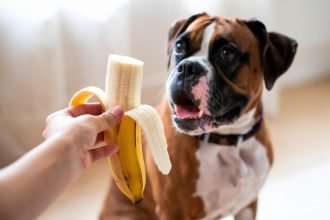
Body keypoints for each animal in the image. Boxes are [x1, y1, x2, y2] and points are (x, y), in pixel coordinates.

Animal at [100, 13, 296, 220]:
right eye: (179, 46)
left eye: (227, 53)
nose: (187, 67)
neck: (227, 142)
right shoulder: (173, 211)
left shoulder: (248, 204)